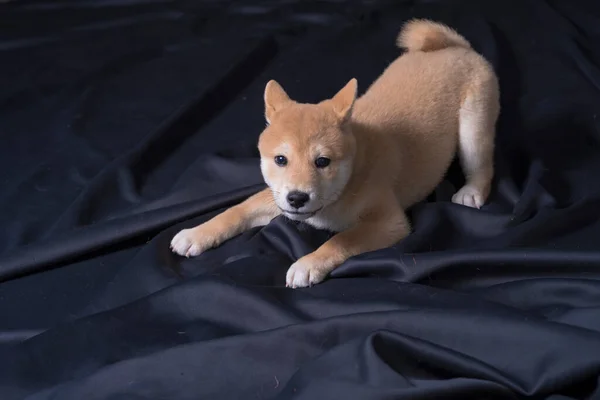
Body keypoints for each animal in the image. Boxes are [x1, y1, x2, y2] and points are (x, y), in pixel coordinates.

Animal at [171, 19, 500, 288]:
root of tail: (457, 47)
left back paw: (472, 191)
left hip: (473, 130)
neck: (353, 172)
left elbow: (342, 239)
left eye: (322, 162)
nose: (297, 198)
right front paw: (198, 233)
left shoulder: (389, 222)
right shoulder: (276, 196)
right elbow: (237, 210)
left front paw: (308, 263)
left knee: (483, 165)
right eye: (280, 160)